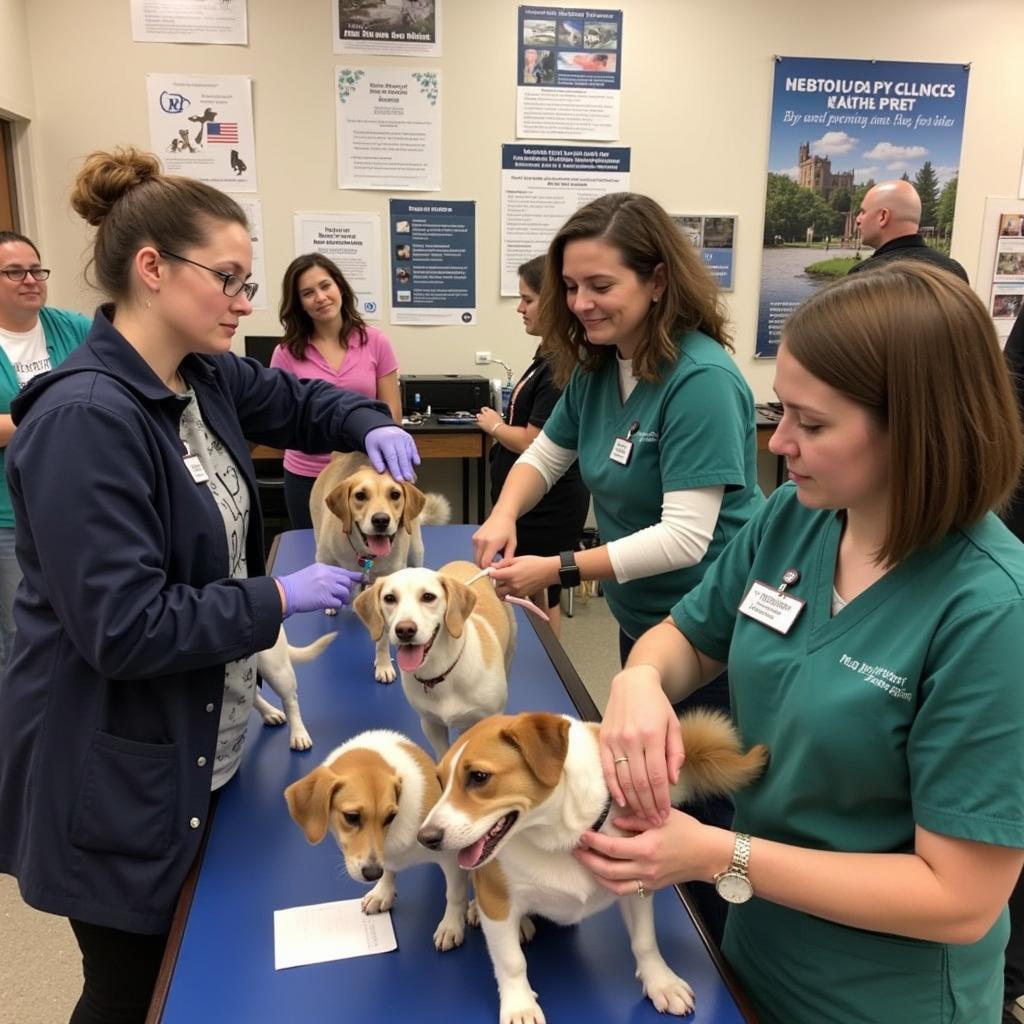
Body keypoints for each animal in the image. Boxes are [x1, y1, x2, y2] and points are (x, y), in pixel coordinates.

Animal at [284, 729, 468, 950]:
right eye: (352, 816)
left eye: (390, 816)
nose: (372, 874)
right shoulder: (384, 857)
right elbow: (387, 870)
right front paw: (382, 892)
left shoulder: (452, 859)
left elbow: (455, 895)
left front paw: (451, 926)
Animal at [354, 561, 516, 761]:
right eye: (389, 598)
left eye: (428, 597)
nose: (405, 630)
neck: (442, 672)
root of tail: (463, 562)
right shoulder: (431, 723)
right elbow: (444, 754)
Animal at [417, 712, 770, 1024]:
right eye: (440, 781)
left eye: (478, 777)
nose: (426, 837)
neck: (562, 839)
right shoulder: (496, 902)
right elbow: (511, 962)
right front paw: (519, 1006)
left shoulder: (637, 882)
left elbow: (645, 942)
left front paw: (661, 983)